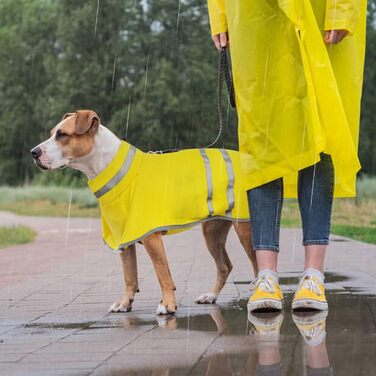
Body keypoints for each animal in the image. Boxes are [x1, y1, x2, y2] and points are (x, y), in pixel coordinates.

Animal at [31, 110, 258, 316]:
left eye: (62, 135)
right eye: (52, 133)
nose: (34, 152)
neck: (107, 164)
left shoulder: (151, 237)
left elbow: (162, 273)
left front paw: (168, 306)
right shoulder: (124, 237)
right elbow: (129, 275)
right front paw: (125, 303)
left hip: (245, 228)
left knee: (256, 262)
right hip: (212, 232)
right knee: (225, 265)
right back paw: (210, 296)